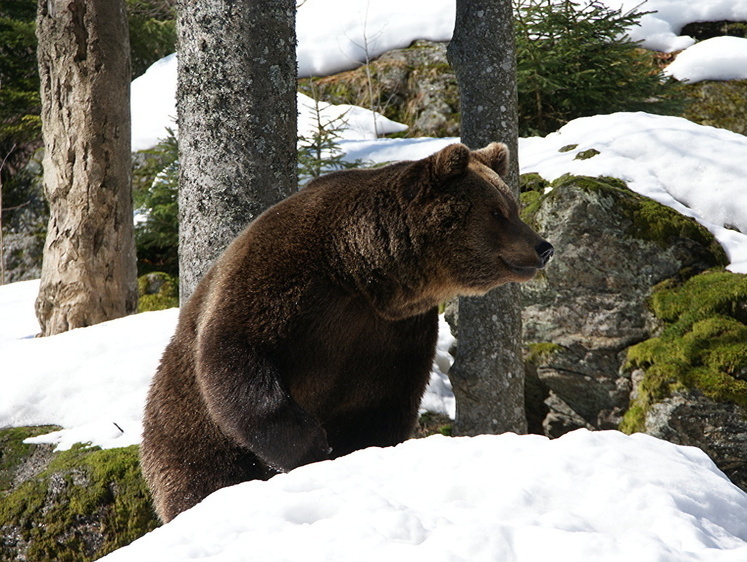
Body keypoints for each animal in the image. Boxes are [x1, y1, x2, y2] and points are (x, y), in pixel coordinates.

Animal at [140, 141, 552, 520]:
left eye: (512, 207)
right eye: (498, 212)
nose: (543, 246)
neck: (360, 272)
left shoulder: (392, 334)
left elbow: (383, 404)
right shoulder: (281, 280)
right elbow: (236, 355)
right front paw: (312, 445)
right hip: (185, 433)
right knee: (199, 477)